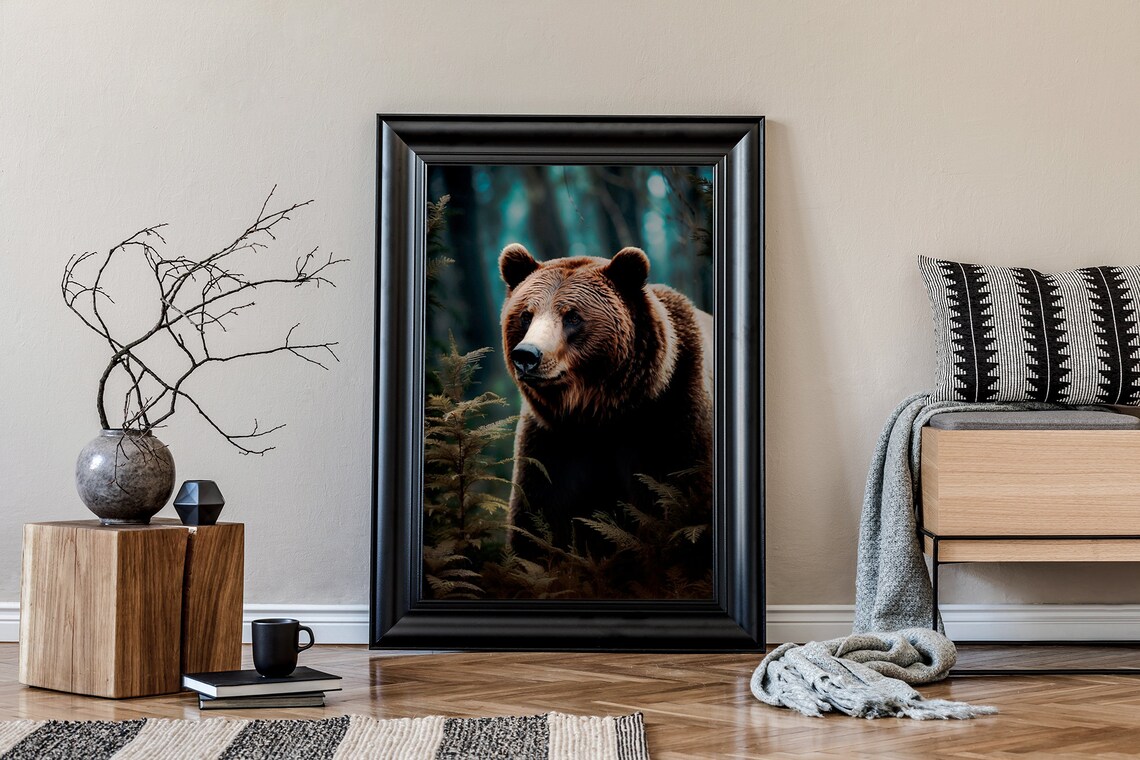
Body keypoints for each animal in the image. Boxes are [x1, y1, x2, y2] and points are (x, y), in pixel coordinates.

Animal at [497, 243, 713, 564]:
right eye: (526, 314)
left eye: (572, 316)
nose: (527, 355)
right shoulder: (552, 445)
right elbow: (535, 525)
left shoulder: (675, 420)